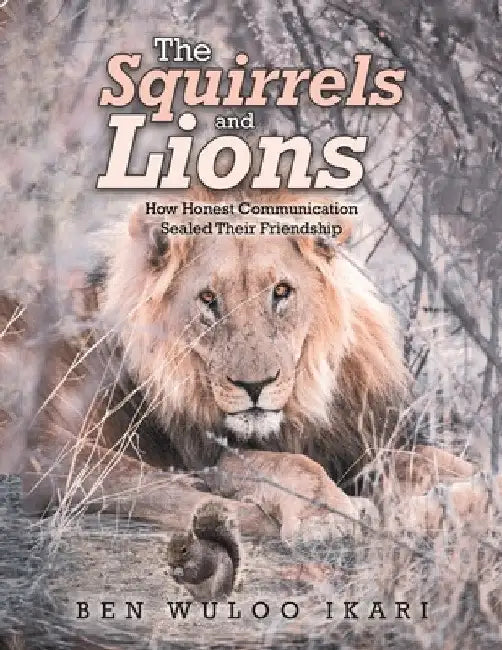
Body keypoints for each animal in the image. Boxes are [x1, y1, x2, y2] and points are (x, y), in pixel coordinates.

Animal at [0, 189, 488, 538]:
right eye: (208, 300)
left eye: (281, 292)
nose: (255, 386)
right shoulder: (206, 453)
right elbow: (288, 468)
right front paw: (332, 514)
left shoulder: (356, 443)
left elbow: (431, 461)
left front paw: (466, 489)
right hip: (50, 444)